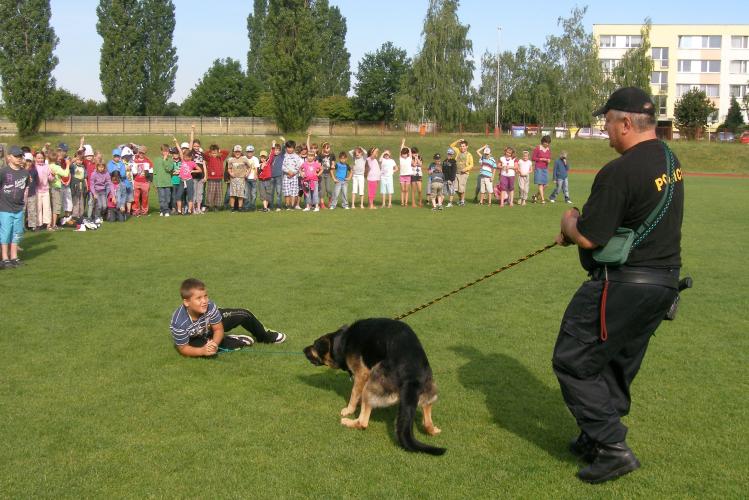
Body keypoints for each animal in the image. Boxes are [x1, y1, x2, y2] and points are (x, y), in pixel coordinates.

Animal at [304, 318, 444, 456]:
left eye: (314, 345)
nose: (303, 349)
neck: (343, 340)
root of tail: (412, 378)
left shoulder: (362, 374)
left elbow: (354, 394)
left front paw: (349, 409)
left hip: (372, 382)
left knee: (363, 423)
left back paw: (348, 421)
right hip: (429, 390)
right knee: (427, 422)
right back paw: (433, 430)